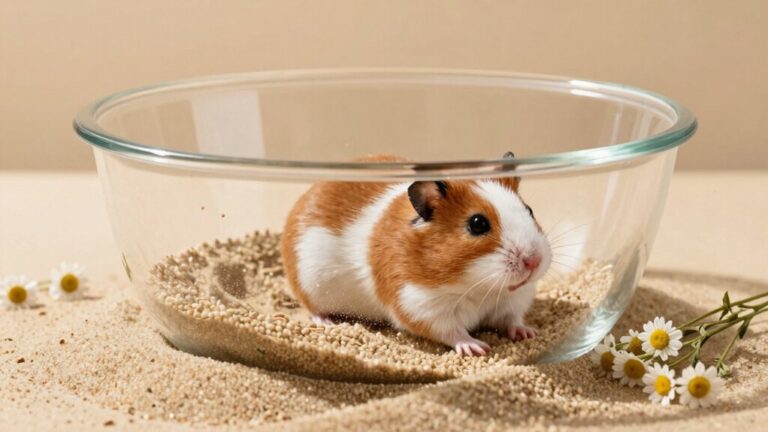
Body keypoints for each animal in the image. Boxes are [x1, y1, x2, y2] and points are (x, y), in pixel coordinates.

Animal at [280, 154, 551, 356]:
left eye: (529, 210)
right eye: (477, 224)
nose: (534, 261)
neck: (479, 286)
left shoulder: (513, 301)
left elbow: (512, 320)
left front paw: (529, 333)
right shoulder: (420, 305)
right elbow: (452, 332)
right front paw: (477, 348)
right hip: (310, 284)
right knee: (312, 307)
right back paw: (327, 323)